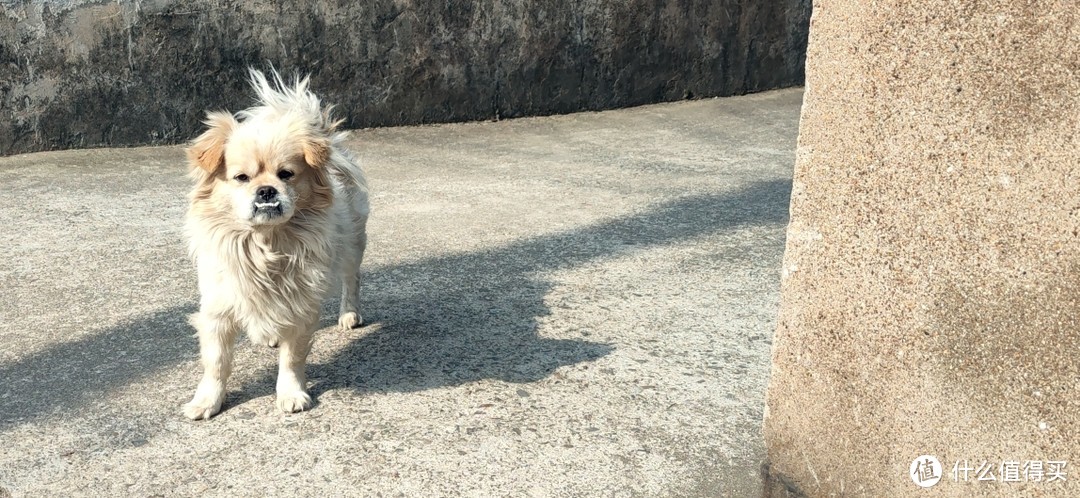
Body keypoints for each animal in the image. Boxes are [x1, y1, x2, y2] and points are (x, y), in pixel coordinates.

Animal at [183, 68, 369, 419]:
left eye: (286, 174)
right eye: (241, 178)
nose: (266, 190)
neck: (264, 244)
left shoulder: (300, 305)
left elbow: (292, 358)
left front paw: (291, 394)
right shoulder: (217, 310)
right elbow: (216, 363)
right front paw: (207, 402)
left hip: (353, 244)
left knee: (351, 279)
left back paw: (349, 315)